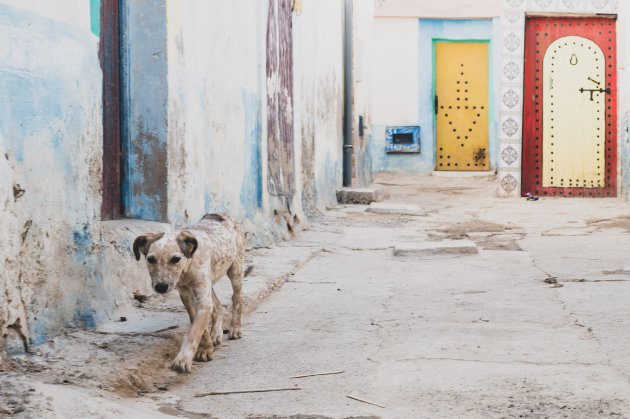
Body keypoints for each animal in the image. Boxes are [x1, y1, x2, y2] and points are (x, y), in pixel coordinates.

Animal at [135, 215, 246, 372]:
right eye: (150, 259)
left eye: (175, 259)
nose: (161, 287)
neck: (187, 268)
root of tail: (219, 214)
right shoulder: (186, 295)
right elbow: (198, 325)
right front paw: (206, 348)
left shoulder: (203, 299)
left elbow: (194, 332)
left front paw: (184, 358)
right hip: (209, 283)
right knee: (217, 305)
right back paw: (216, 333)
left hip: (235, 270)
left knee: (237, 297)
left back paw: (235, 328)